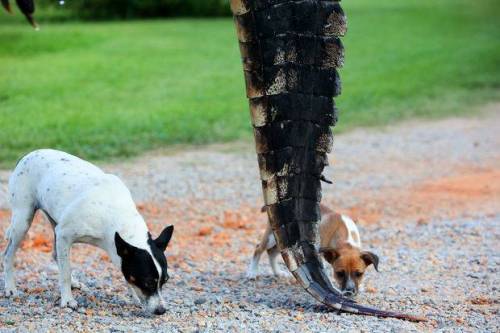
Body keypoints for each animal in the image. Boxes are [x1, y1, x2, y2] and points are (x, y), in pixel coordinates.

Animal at [2, 149, 174, 312]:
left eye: (165, 281)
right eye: (147, 282)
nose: (161, 310)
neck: (114, 212)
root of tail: (28, 155)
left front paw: (134, 297)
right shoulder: (64, 235)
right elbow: (65, 272)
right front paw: (67, 300)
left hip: (54, 224)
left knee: (57, 256)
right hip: (23, 221)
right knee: (8, 255)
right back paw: (10, 288)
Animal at [246, 204, 378, 296]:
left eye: (359, 274)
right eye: (339, 273)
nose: (350, 292)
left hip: (284, 242)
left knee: (271, 253)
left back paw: (277, 272)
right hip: (272, 238)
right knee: (258, 249)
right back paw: (252, 272)